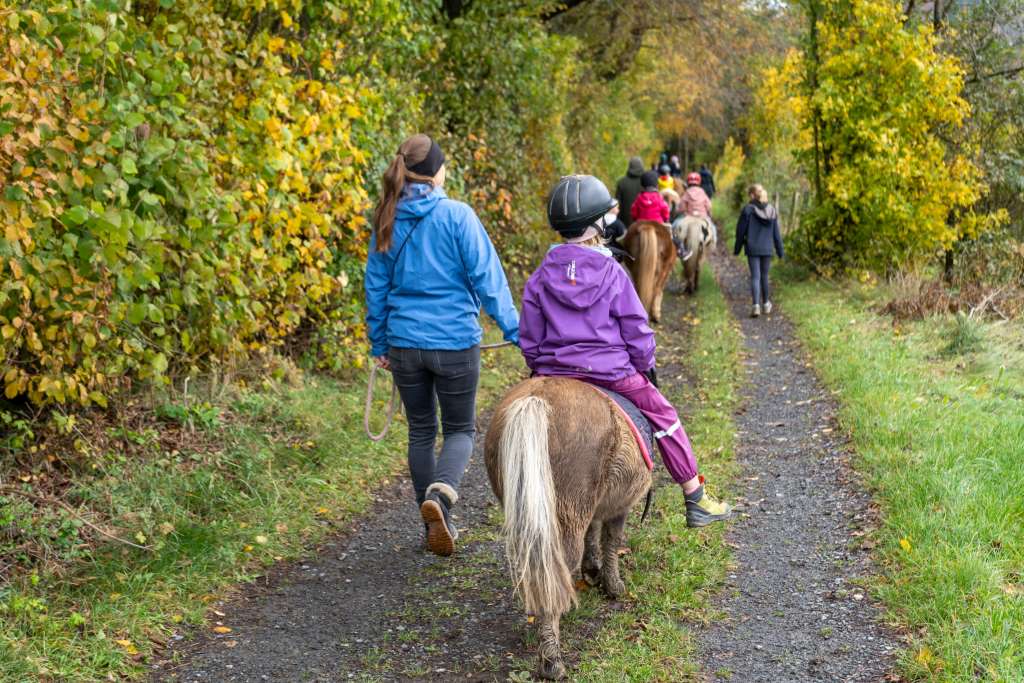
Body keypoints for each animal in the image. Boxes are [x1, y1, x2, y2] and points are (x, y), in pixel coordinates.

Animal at [485, 376, 647, 679]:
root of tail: (535, 400)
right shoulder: (619, 508)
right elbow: (611, 540)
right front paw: (613, 586)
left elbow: (593, 533)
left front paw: (592, 570)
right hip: (565, 522)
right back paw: (552, 663)